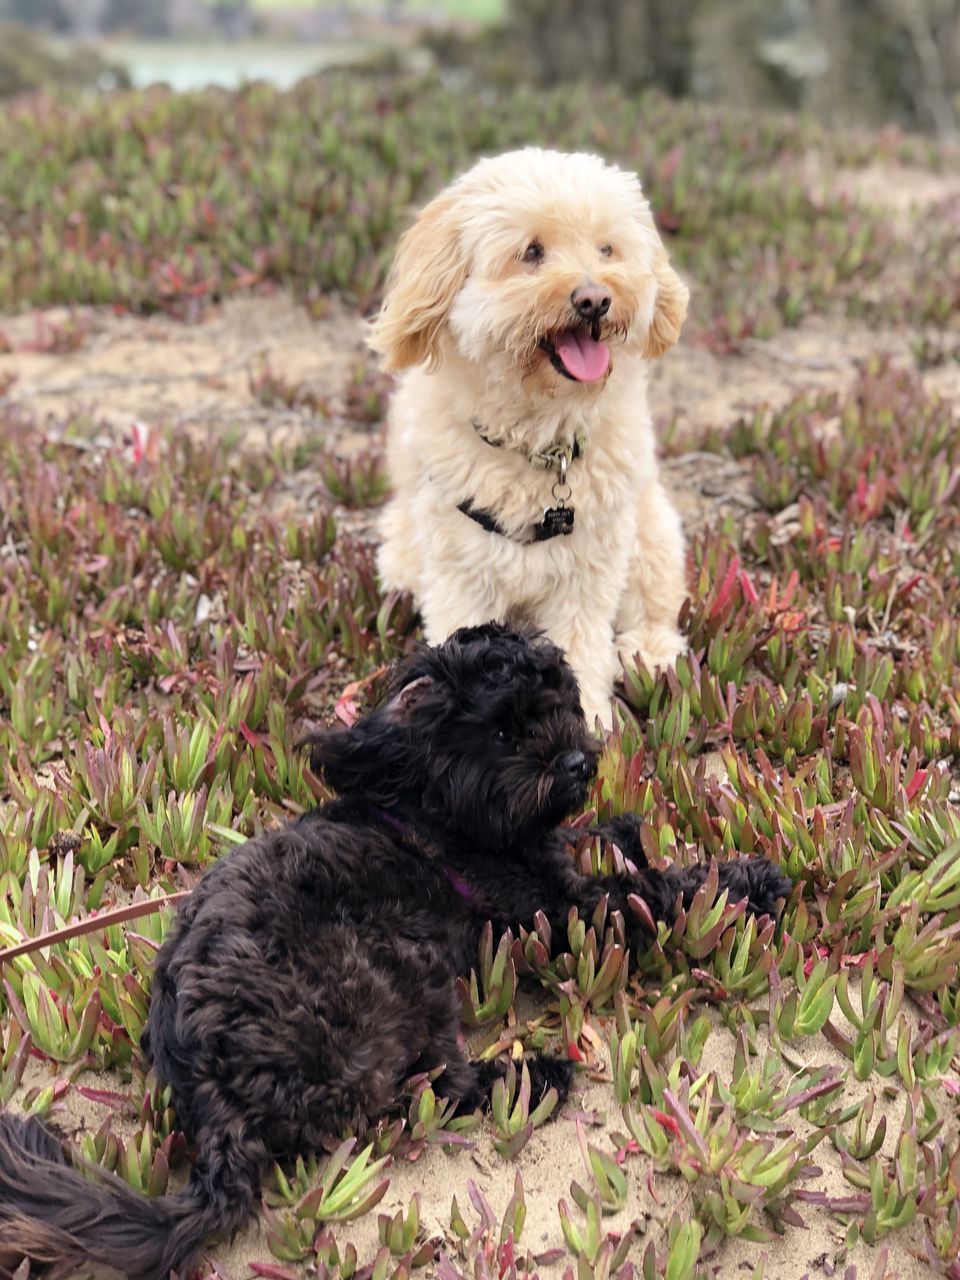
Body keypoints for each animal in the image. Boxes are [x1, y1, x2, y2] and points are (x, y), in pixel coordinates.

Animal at [0, 624, 788, 1274]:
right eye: (503, 731)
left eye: (559, 705)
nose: (575, 762)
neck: (434, 810)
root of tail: (214, 1099)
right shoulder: (548, 909)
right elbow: (646, 896)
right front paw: (745, 882)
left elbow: (602, 843)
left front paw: (635, 836)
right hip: (395, 972)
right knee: (430, 1087)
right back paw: (531, 1075)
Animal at [368, 147, 691, 732]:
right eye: (531, 252)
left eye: (607, 248)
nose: (595, 299)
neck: (542, 440)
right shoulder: (462, 574)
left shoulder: (589, 570)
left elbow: (581, 646)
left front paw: (586, 720)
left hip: (651, 530)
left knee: (656, 600)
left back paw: (650, 652)